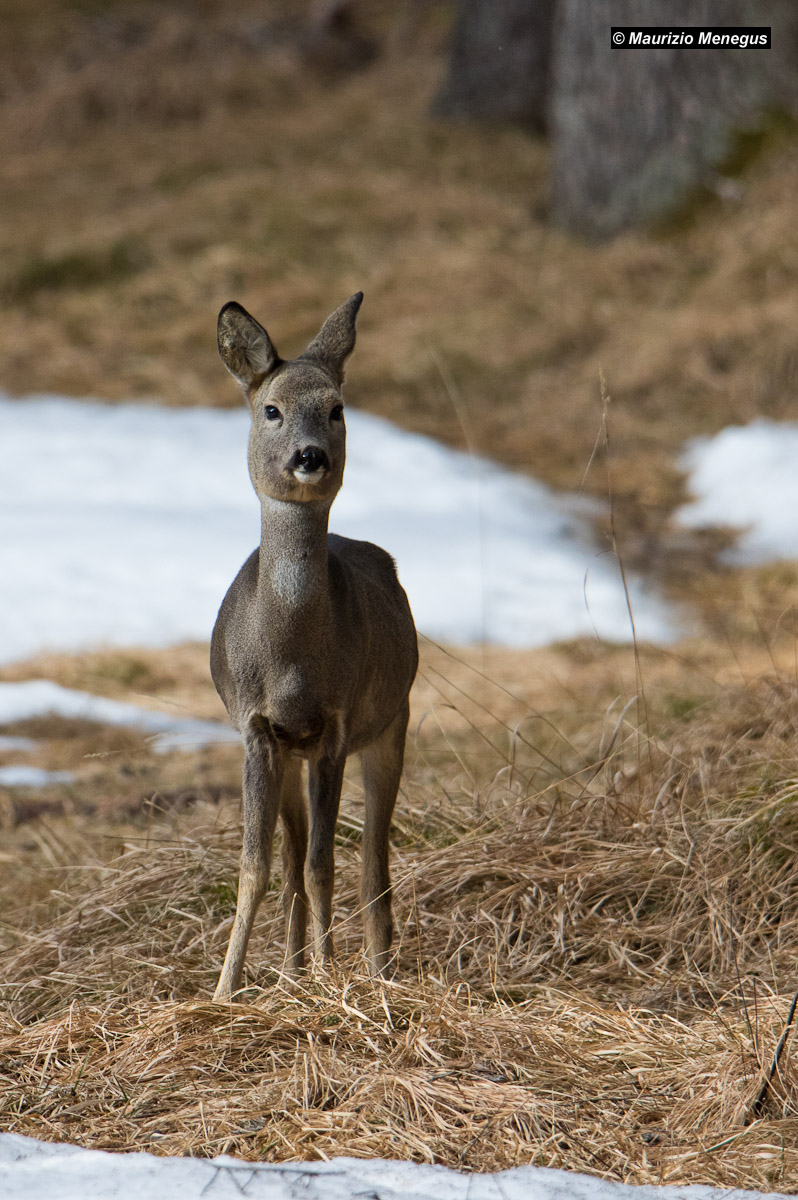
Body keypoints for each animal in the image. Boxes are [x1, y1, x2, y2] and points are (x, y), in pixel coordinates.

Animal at [210, 292, 418, 1001]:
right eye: (271, 409)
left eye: (337, 409)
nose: (309, 457)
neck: (293, 662)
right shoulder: (257, 727)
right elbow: (257, 867)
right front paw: (224, 991)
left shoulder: (336, 724)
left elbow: (327, 866)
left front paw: (330, 982)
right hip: (292, 753)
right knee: (295, 861)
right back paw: (294, 968)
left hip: (392, 723)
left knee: (373, 865)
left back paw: (377, 976)